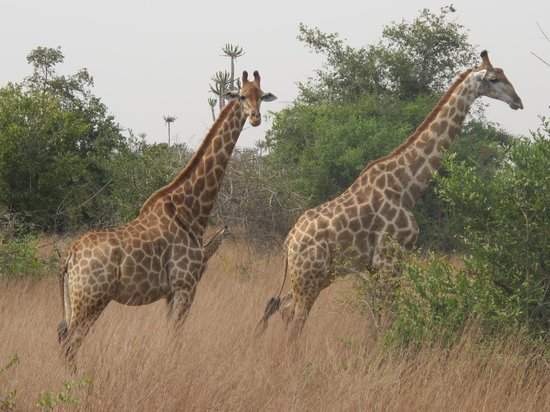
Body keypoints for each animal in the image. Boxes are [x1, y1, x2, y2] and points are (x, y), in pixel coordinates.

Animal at [57, 71, 276, 366]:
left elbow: (170, 334)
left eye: (261, 95)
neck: (191, 210)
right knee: (71, 343)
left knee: (63, 336)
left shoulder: (170, 293)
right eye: (241, 96)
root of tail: (70, 257)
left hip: (74, 300)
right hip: (91, 299)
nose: (255, 117)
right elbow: (176, 336)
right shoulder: (186, 285)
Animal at [258, 50, 528, 338]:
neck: (408, 185)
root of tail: (289, 243)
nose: (518, 101)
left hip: (319, 276)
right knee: (295, 316)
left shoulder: (377, 266)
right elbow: (388, 317)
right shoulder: (390, 258)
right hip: (310, 274)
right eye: (494, 79)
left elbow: (377, 318)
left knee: (284, 308)